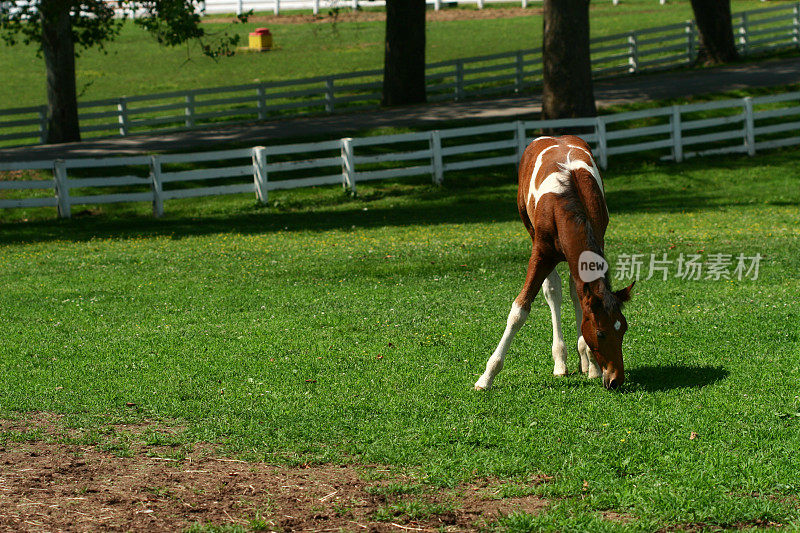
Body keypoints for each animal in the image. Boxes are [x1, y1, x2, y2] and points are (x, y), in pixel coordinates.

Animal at [476, 134, 632, 390]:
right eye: (601, 333)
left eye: (623, 329)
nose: (615, 379)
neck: (567, 201)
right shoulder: (541, 254)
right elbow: (519, 311)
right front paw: (486, 377)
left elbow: (581, 299)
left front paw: (592, 365)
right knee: (553, 291)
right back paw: (560, 363)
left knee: (574, 292)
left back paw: (584, 362)